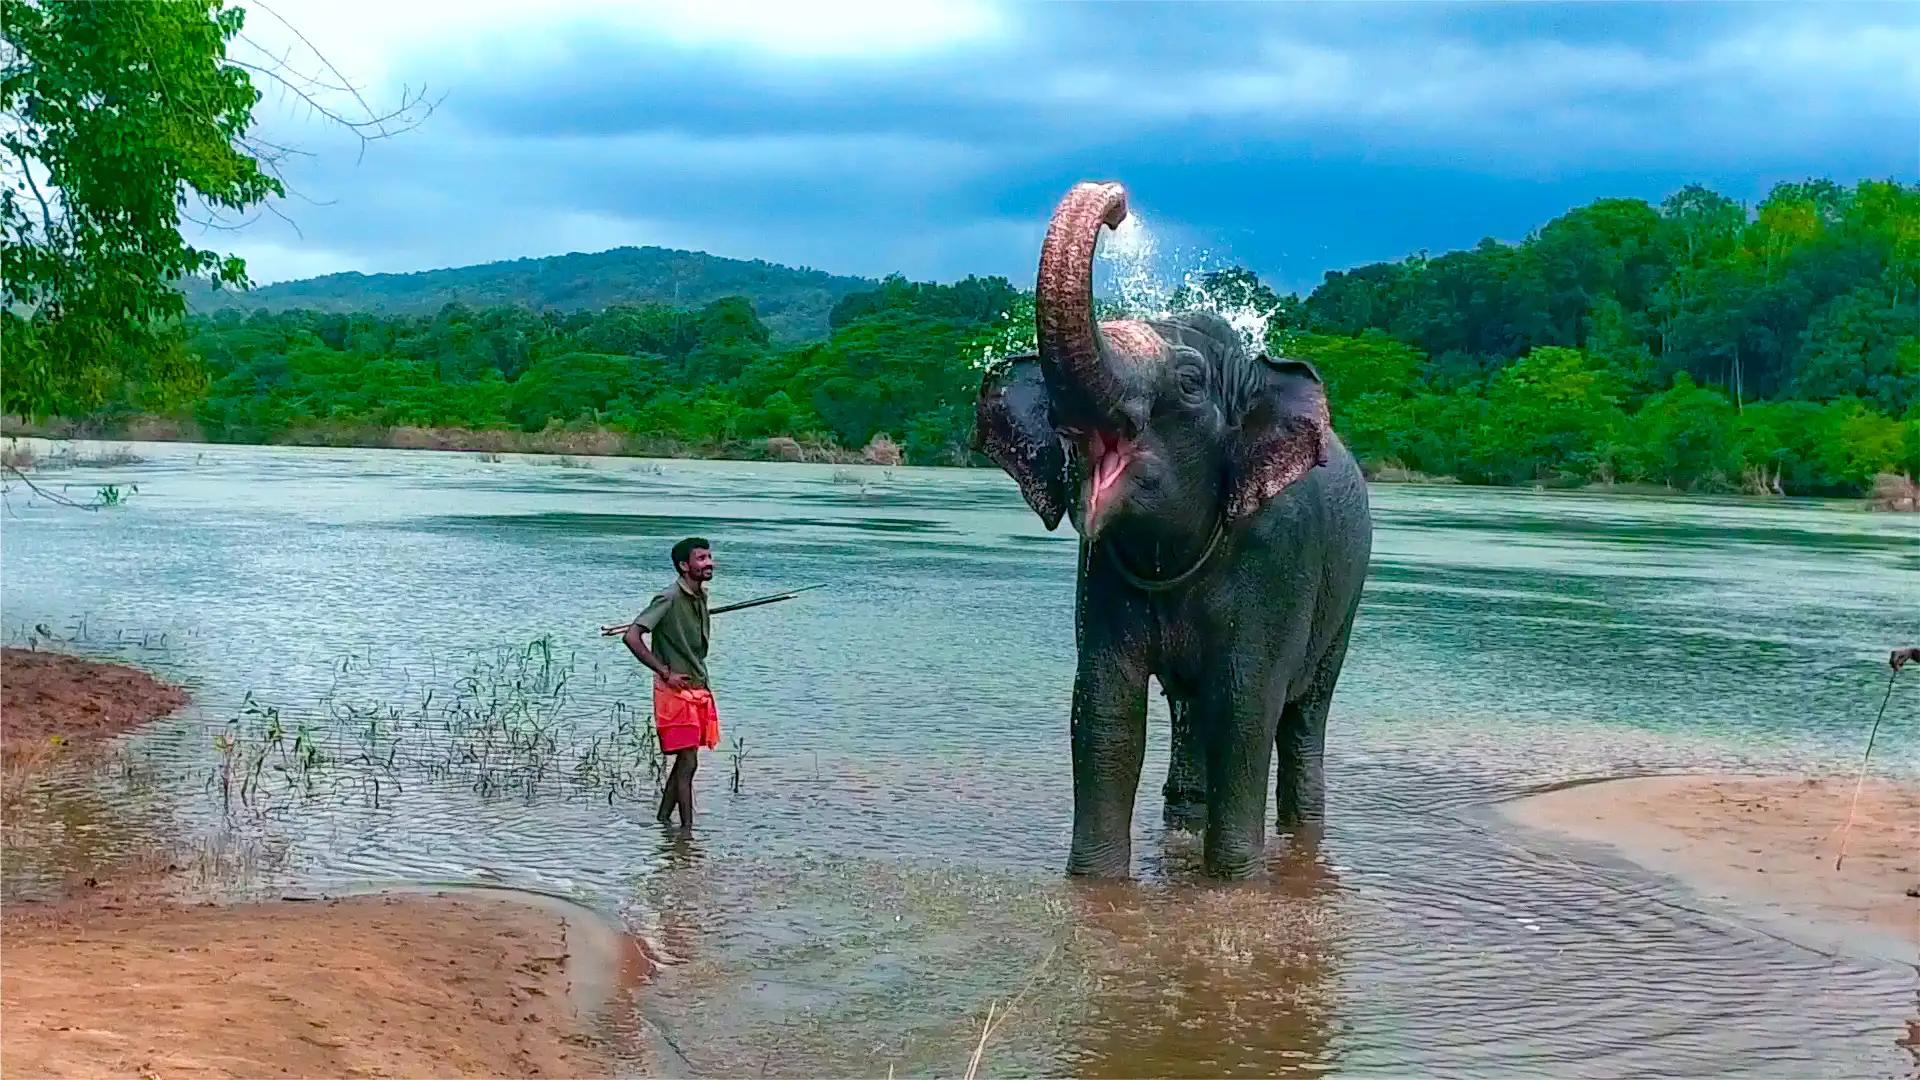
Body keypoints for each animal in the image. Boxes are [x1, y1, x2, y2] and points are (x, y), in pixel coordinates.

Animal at [983, 180, 1374, 880]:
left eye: (1191, 384)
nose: (1119, 205)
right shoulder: (1101, 573)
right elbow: (1105, 710)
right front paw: (1094, 885)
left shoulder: (1279, 558)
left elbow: (1247, 706)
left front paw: (1236, 883)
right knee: (1191, 709)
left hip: (1345, 602)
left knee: (1303, 715)